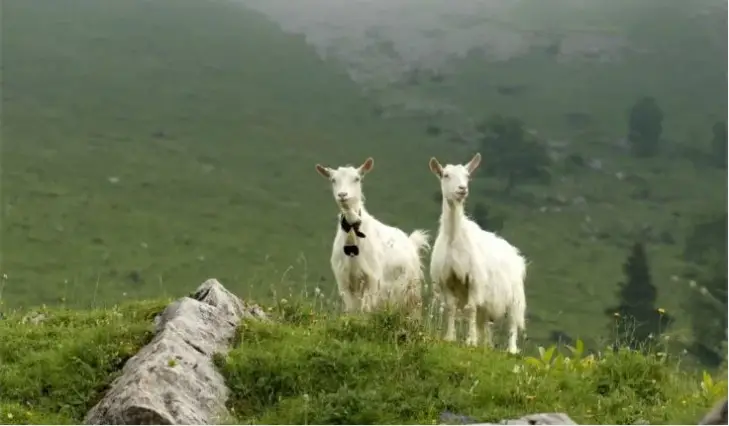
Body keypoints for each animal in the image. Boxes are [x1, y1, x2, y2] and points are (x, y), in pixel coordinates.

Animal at [314, 156, 430, 312]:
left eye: (357, 178)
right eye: (333, 179)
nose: (342, 195)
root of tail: (411, 241)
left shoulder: (373, 279)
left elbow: (366, 310)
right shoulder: (344, 281)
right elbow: (351, 310)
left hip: (411, 289)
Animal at [426, 153, 524, 352]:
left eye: (467, 176)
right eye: (445, 175)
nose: (462, 189)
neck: (454, 239)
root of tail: (514, 253)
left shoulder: (475, 280)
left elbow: (470, 308)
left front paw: (470, 341)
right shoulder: (446, 280)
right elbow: (451, 308)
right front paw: (450, 338)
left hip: (515, 296)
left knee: (512, 323)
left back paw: (511, 350)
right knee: (484, 322)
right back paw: (485, 344)